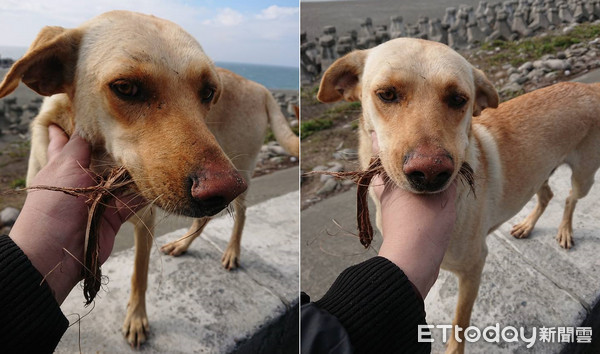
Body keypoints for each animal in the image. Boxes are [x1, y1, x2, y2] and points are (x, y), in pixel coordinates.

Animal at [0, 10, 300, 346]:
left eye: (208, 92)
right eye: (125, 88)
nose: (223, 190)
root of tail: (260, 87)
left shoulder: (146, 221)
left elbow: (139, 274)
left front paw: (136, 318)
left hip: (241, 166)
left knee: (241, 214)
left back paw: (232, 251)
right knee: (207, 217)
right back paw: (184, 245)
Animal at [316, 37, 600, 352]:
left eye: (458, 99)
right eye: (387, 94)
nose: (430, 172)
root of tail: (590, 88)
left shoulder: (473, 267)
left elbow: (460, 321)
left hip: (584, 176)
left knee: (569, 198)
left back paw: (564, 230)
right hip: (538, 170)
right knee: (547, 194)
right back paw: (527, 225)